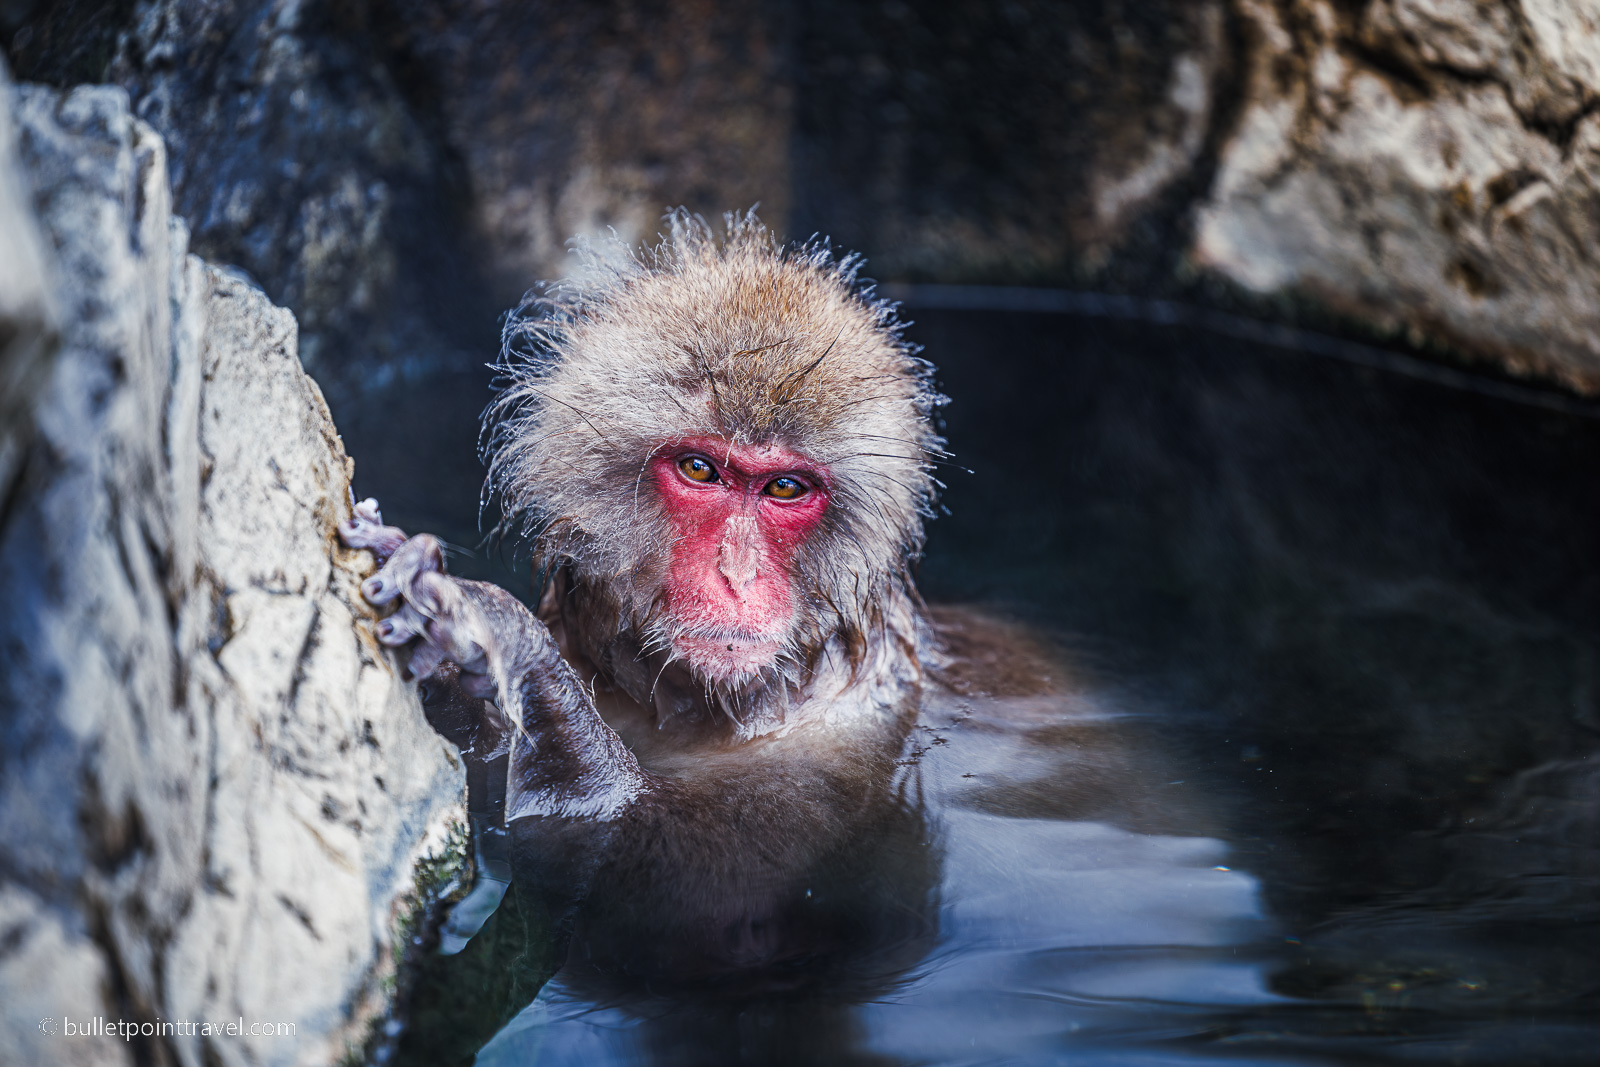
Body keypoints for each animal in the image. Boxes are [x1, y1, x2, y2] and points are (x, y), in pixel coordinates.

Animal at [340, 211, 960, 1004]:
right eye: (701, 468)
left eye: (785, 488)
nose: (736, 575)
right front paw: (460, 687)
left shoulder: (852, 726)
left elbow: (660, 870)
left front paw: (501, 640)